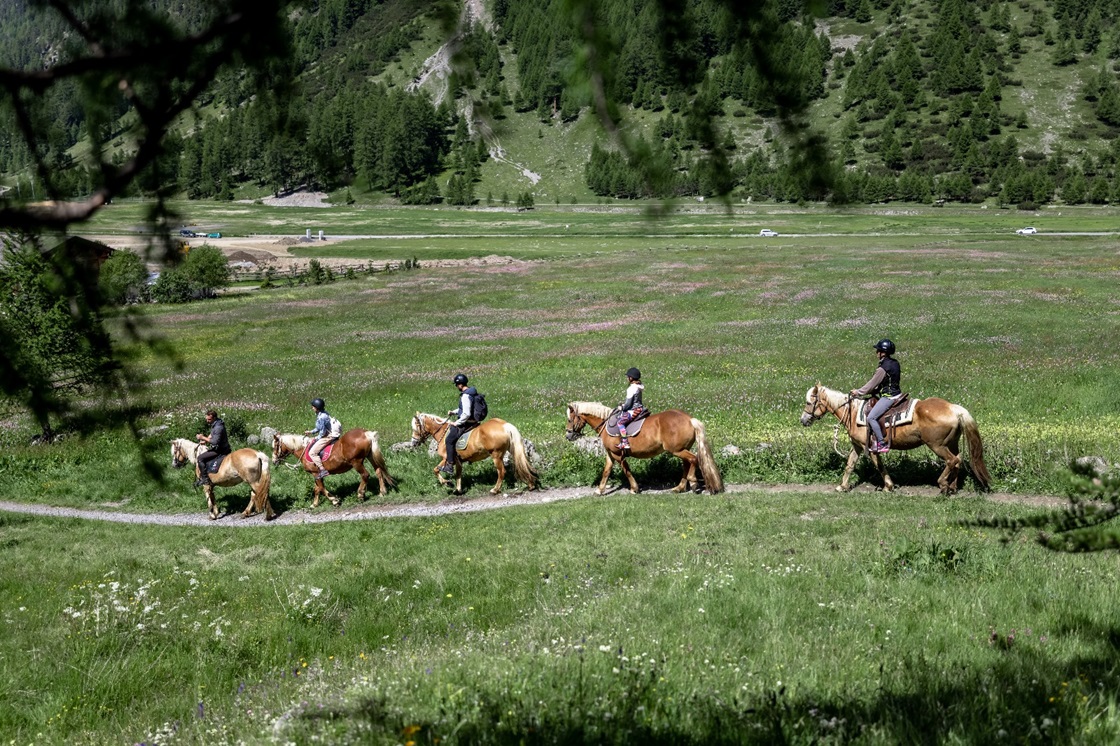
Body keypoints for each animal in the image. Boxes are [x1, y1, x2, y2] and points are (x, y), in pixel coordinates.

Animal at [409, 413, 537, 494]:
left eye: (416, 427)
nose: (413, 442)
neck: (443, 433)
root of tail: (504, 425)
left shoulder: (447, 458)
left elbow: (436, 469)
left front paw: (447, 483)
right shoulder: (458, 462)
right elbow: (458, 475)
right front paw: (458, 489)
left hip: (496, 455)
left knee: (501, 472)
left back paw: (495, 490)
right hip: (512, 450)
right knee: (522, 465)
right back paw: (531, 484)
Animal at [564, 402, 724, 495]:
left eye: (569, 419)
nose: (568, 435)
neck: (605, 423)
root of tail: (689, 419)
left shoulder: (617, 454)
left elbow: (626, 470)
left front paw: (634, 488)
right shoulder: (610, 454)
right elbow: (606, 471)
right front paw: (599, 490)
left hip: (676, 450)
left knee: (693, 459)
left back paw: (693, 482)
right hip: (681, 449)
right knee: (687, 464)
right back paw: (679, 488)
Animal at [800, 383, 992, 495]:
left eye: (809, 402)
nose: (803, 420)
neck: (853, 413)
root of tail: (954, 408)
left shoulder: (871, 447)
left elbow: (879, 466)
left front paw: (888, 486)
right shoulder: (857, 446)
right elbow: (850, 465)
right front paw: (842, 486)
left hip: (937, 445)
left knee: (952, 461)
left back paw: (943, 484)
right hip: (951, 443)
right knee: (958, 460)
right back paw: (952, 487)